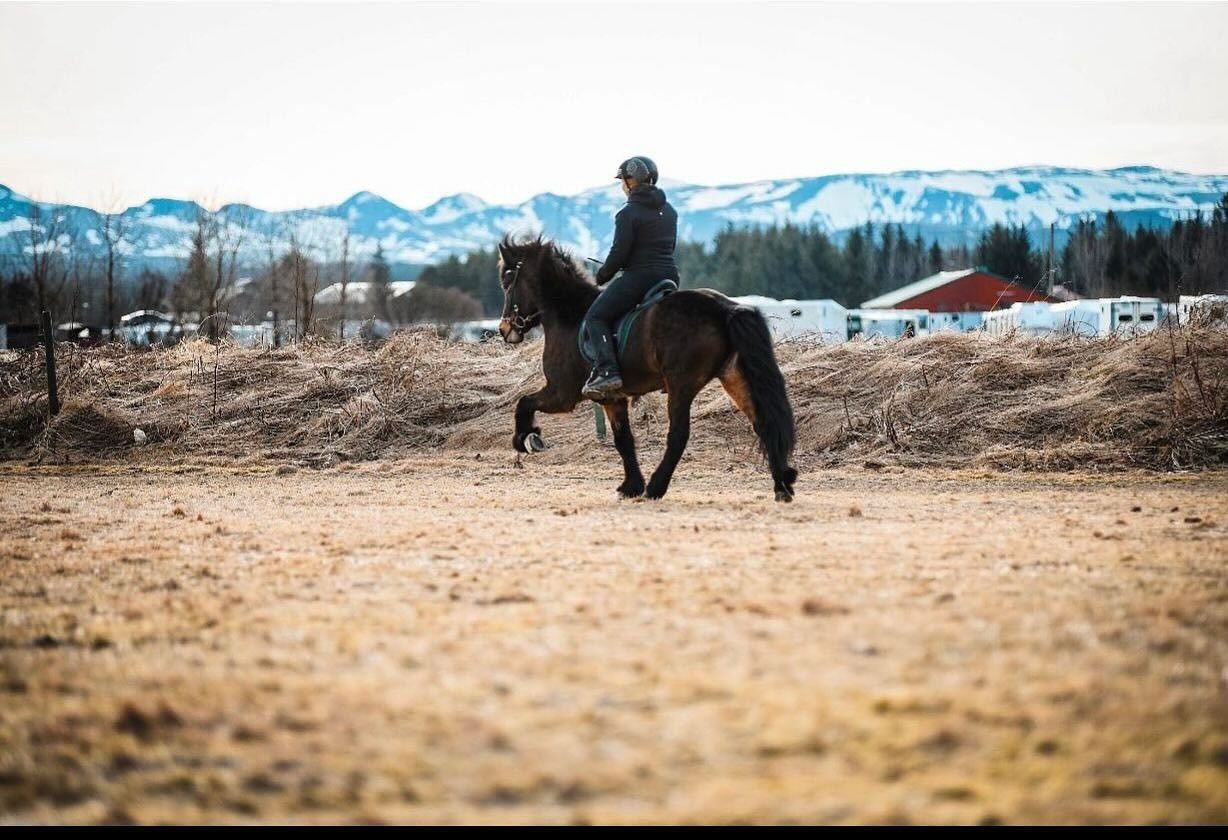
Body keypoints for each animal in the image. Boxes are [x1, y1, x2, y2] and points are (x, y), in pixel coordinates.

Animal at [493, 233, 800, 501]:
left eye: (507, 279)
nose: (505, 329)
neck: (569, 315)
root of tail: (725, 308)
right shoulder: (612, 399)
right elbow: (623, 440)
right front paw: (630, 486)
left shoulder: (562, 393)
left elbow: (524, 402)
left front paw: (526, 438)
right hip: (734, 377)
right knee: (763, 423)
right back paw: (782, 485)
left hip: (681, 385)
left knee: (678, 436)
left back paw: (656, 487)